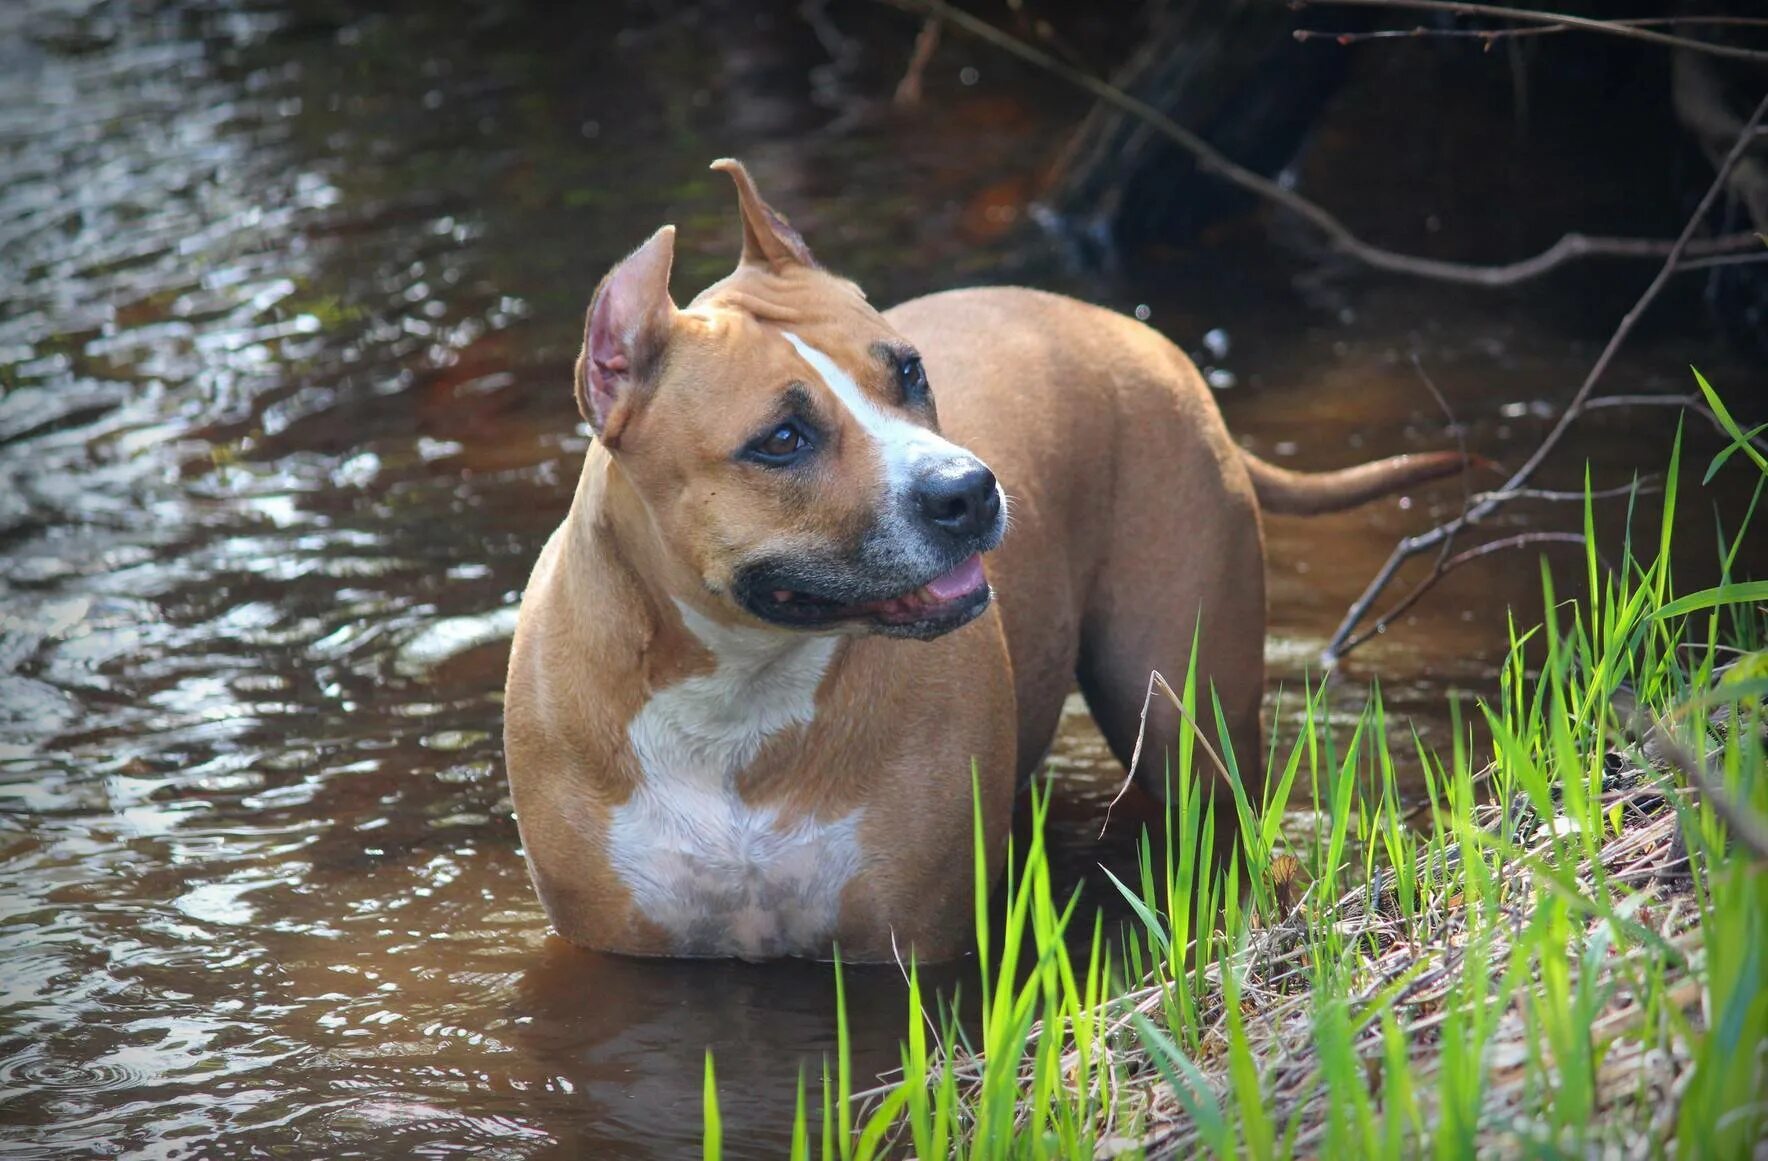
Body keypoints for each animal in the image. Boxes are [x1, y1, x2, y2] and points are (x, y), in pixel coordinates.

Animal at [502, 160, 1463, 961]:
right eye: (781, 439)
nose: (968, 490)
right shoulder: (622, 952)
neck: (737, 698)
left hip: (1182, 702)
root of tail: (1129, 330)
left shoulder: (912, 945)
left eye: (910, 371)